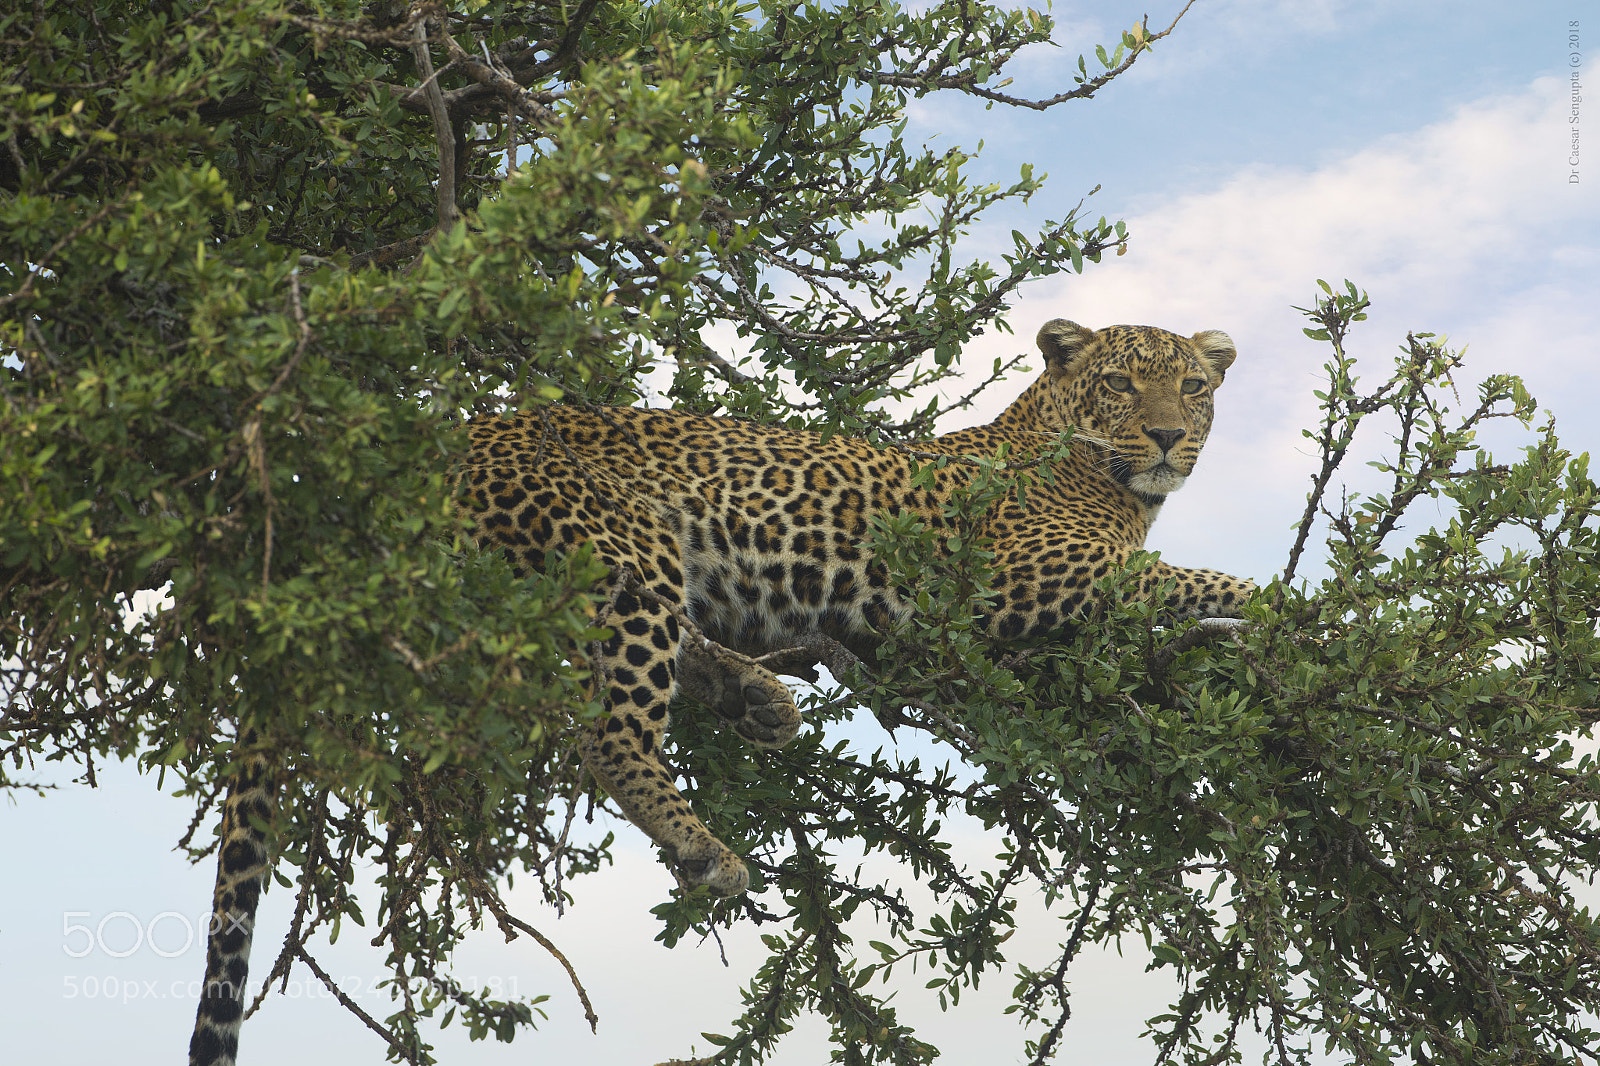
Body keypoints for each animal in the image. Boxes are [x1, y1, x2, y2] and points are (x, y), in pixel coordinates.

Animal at [464, 317, 1256, 897]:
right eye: (1120, 383)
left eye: (1193, 386)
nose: (1166, 436)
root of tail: (464, 430)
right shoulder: (1027, 572)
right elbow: (1202, 579)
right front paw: (1284, 607)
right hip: (621, 545)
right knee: (610, 731)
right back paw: (702, 844)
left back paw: (755, 699)